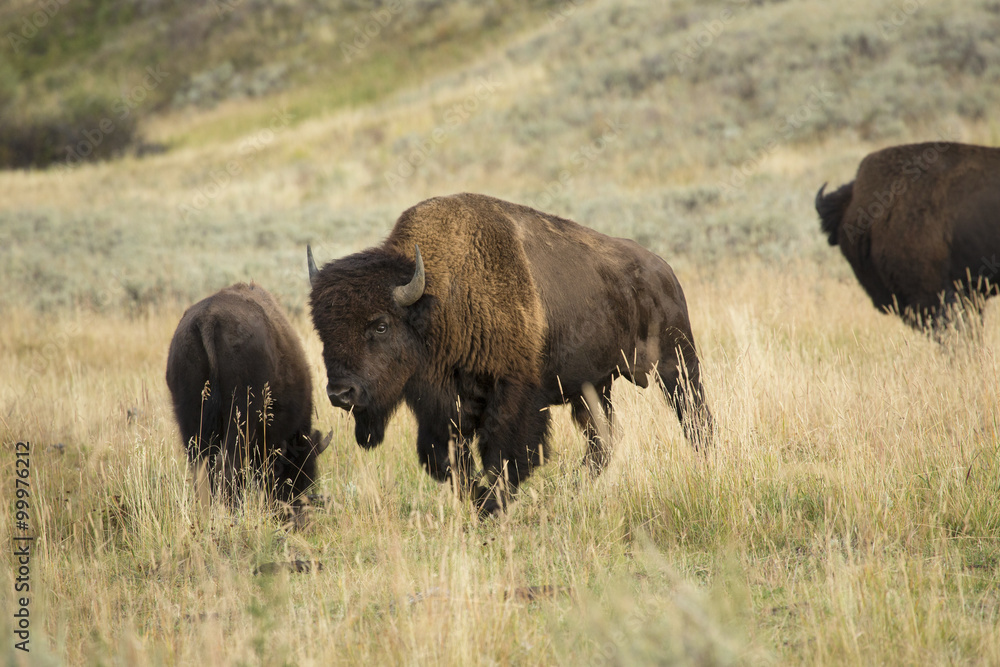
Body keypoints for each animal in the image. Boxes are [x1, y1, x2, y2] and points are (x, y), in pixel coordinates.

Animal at [166, 282, 330, 506]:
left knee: (201, 468)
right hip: (240, 417)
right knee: (227, 465)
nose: (294, 509)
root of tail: (208, 319)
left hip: (191, 418)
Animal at [308, 193, 716, 516]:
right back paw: (572, 491)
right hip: (595, 388)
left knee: (696, 421)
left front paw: (491, 506)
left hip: (677, 365)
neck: (440, 300)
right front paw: (478, 499)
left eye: (380, 325)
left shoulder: (515, 395)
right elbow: (446, 461)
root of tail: (663, 271)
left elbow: (505, 455)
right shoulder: (439, 409)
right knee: (602, 443)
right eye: (321, 329)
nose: (340, 393)